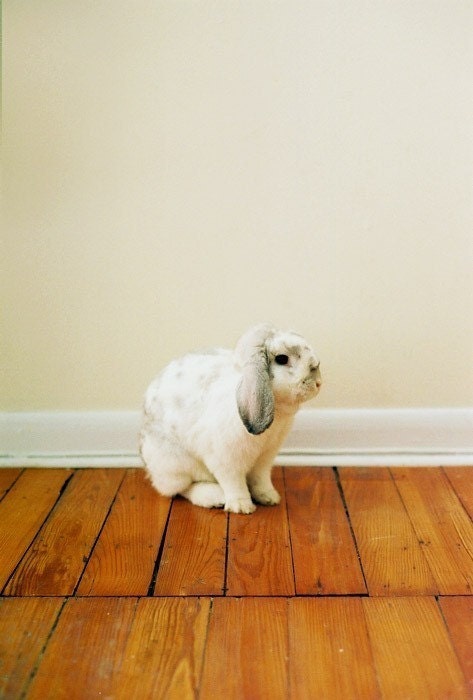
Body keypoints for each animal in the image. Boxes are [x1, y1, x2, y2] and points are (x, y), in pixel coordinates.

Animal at [140, 324, 322, 514]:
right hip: (176, 466)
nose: (318, 383)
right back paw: (214, 497)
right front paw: (242, 507)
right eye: (282, 359)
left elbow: (260, 478)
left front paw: (269, 497)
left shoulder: (265, 457)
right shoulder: (226, 460)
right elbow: (234, 483)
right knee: (180, 489)